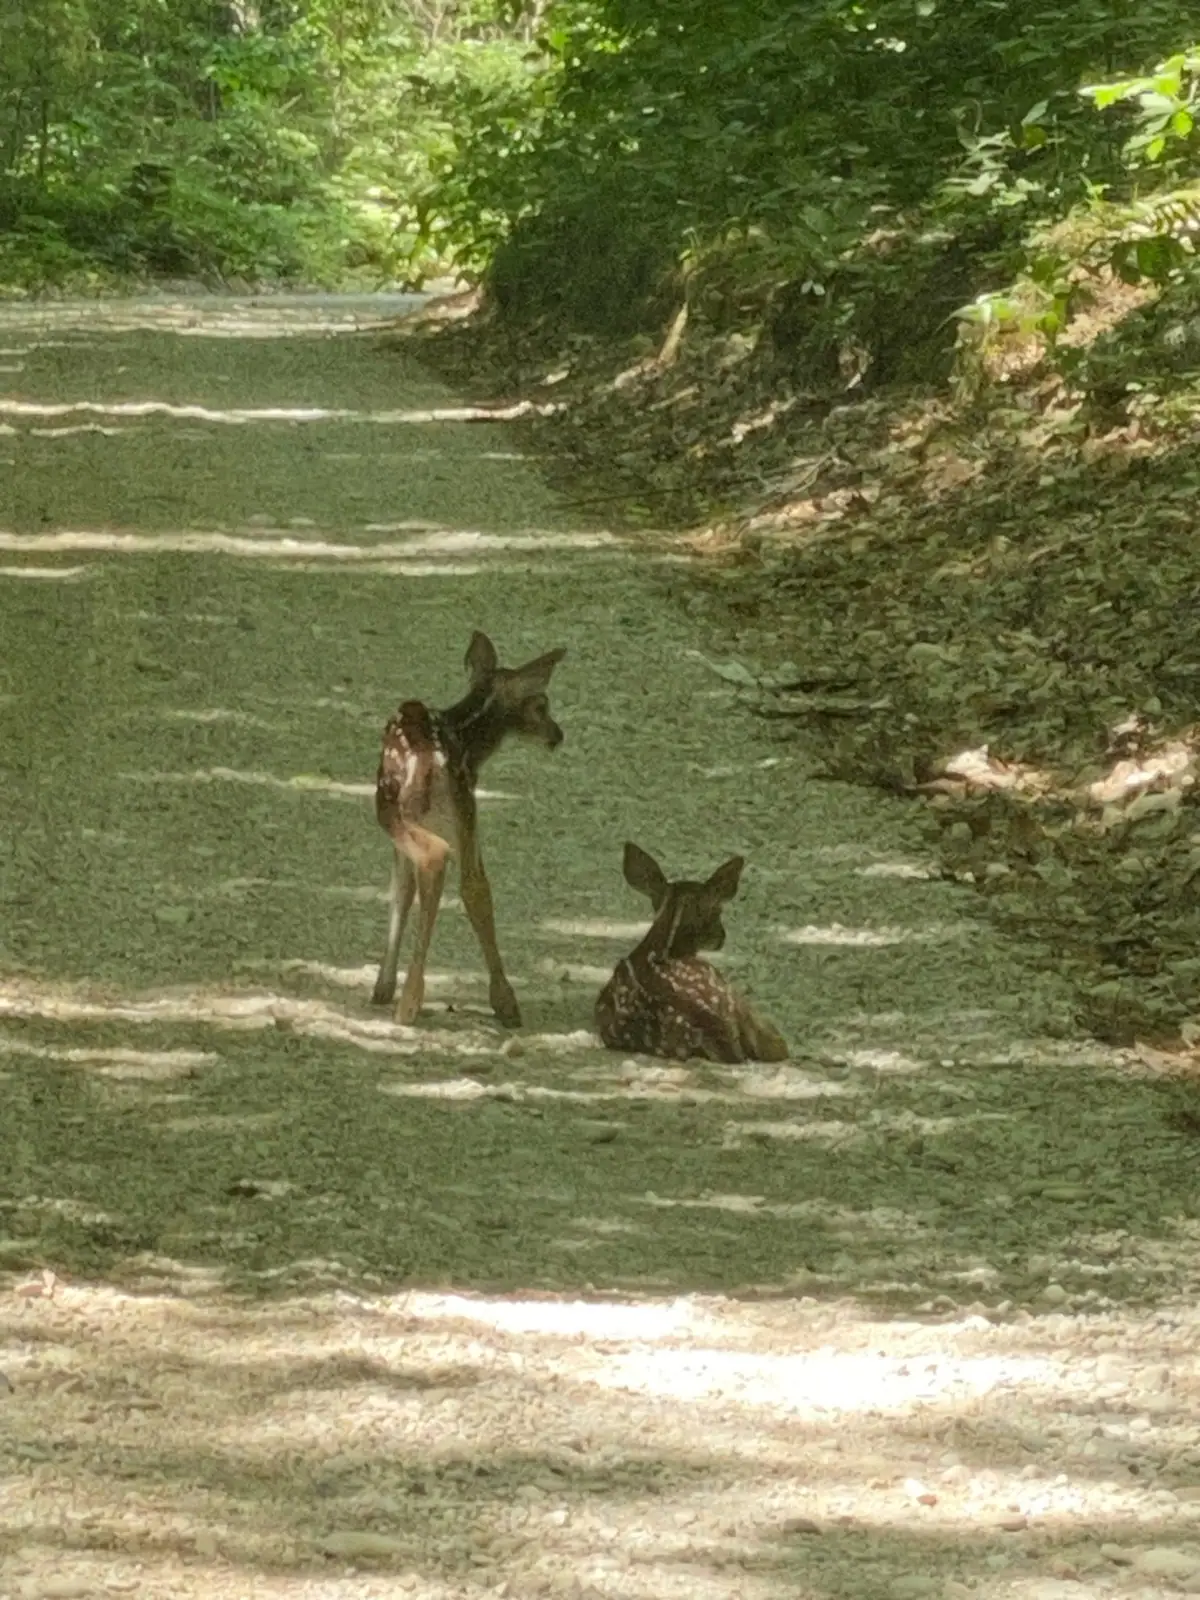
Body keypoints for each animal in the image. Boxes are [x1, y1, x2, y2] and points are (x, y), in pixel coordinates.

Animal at [371, 632, 566, 1028]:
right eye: (541, 705)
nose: (557, 735)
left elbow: (402, 889)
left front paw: (384, 986)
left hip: (401, 809)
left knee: (442, 865)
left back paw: (412, 1000)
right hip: (444, 808)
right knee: (464, 877)